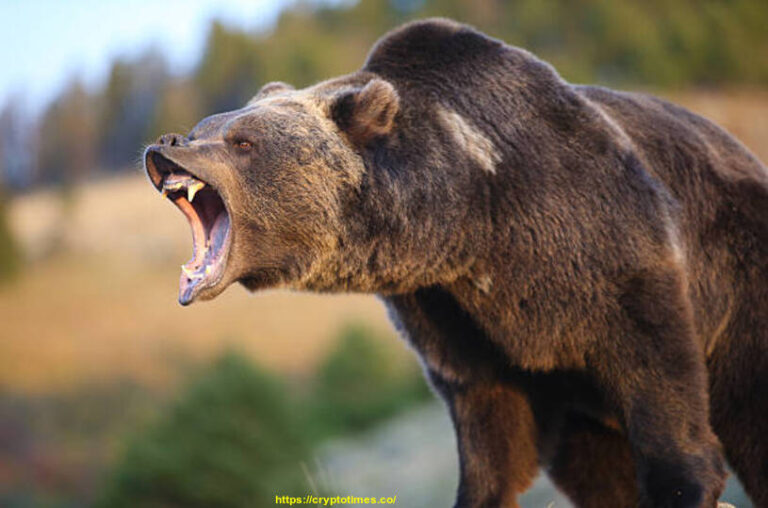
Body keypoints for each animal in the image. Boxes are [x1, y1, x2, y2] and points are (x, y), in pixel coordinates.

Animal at [143, 18, 768, 508]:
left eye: (243, 141)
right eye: (203, 129)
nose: (166, 143)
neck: (469, 220)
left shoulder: (608, 252)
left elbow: (658, 376)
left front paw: (684, 483)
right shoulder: (458, 320)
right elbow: (491, 437)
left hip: (744, 278)